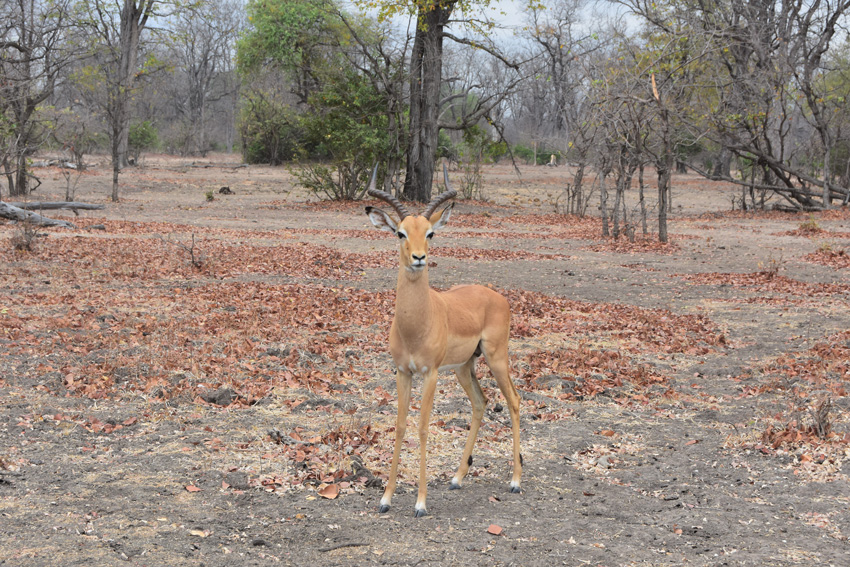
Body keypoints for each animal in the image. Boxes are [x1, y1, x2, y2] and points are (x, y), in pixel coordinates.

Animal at [365, 165, 522, 517]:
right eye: (400, 233)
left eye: (430, 233)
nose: (419, 257)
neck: (415, 326)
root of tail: (498, 297)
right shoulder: (402, 372)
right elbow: (400, 426)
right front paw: (386, 499)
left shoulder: (431, 374)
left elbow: (423, 428)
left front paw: (421, 503)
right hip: (465, 367)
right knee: (480, 403)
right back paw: (457, 478)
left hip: (497, 358)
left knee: (515, 401)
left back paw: (516, 481)